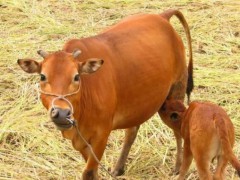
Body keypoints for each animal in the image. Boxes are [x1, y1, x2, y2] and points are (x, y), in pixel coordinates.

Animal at [16, 10, 193, 180]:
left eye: (76, 77)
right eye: (42, 76)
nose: (61, 113)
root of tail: (162, 17)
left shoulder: (101, 135)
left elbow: (88, 173)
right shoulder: (82, 141)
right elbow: (92, 170)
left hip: (175, 93)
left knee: (178, 131)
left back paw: (178, 167)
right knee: (132, 131)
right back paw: (118, 168)